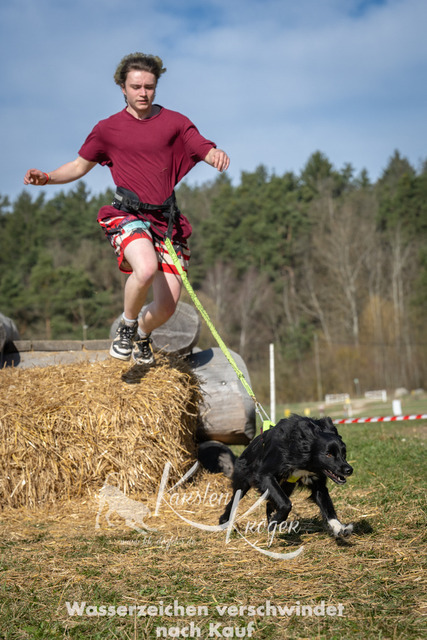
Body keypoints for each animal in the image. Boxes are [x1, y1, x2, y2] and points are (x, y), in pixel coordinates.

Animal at [219, 414, 353, 537]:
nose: (349, 470)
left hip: (287, 486)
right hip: (244, 482)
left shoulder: (317, 484)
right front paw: (277, 519)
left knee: (269, 503)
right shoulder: (264, 475)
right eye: (328, 454)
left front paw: (339, 528)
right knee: (233, 501)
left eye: (344, 453)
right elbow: (286, 504)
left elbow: (327, 506)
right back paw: (224, 521)